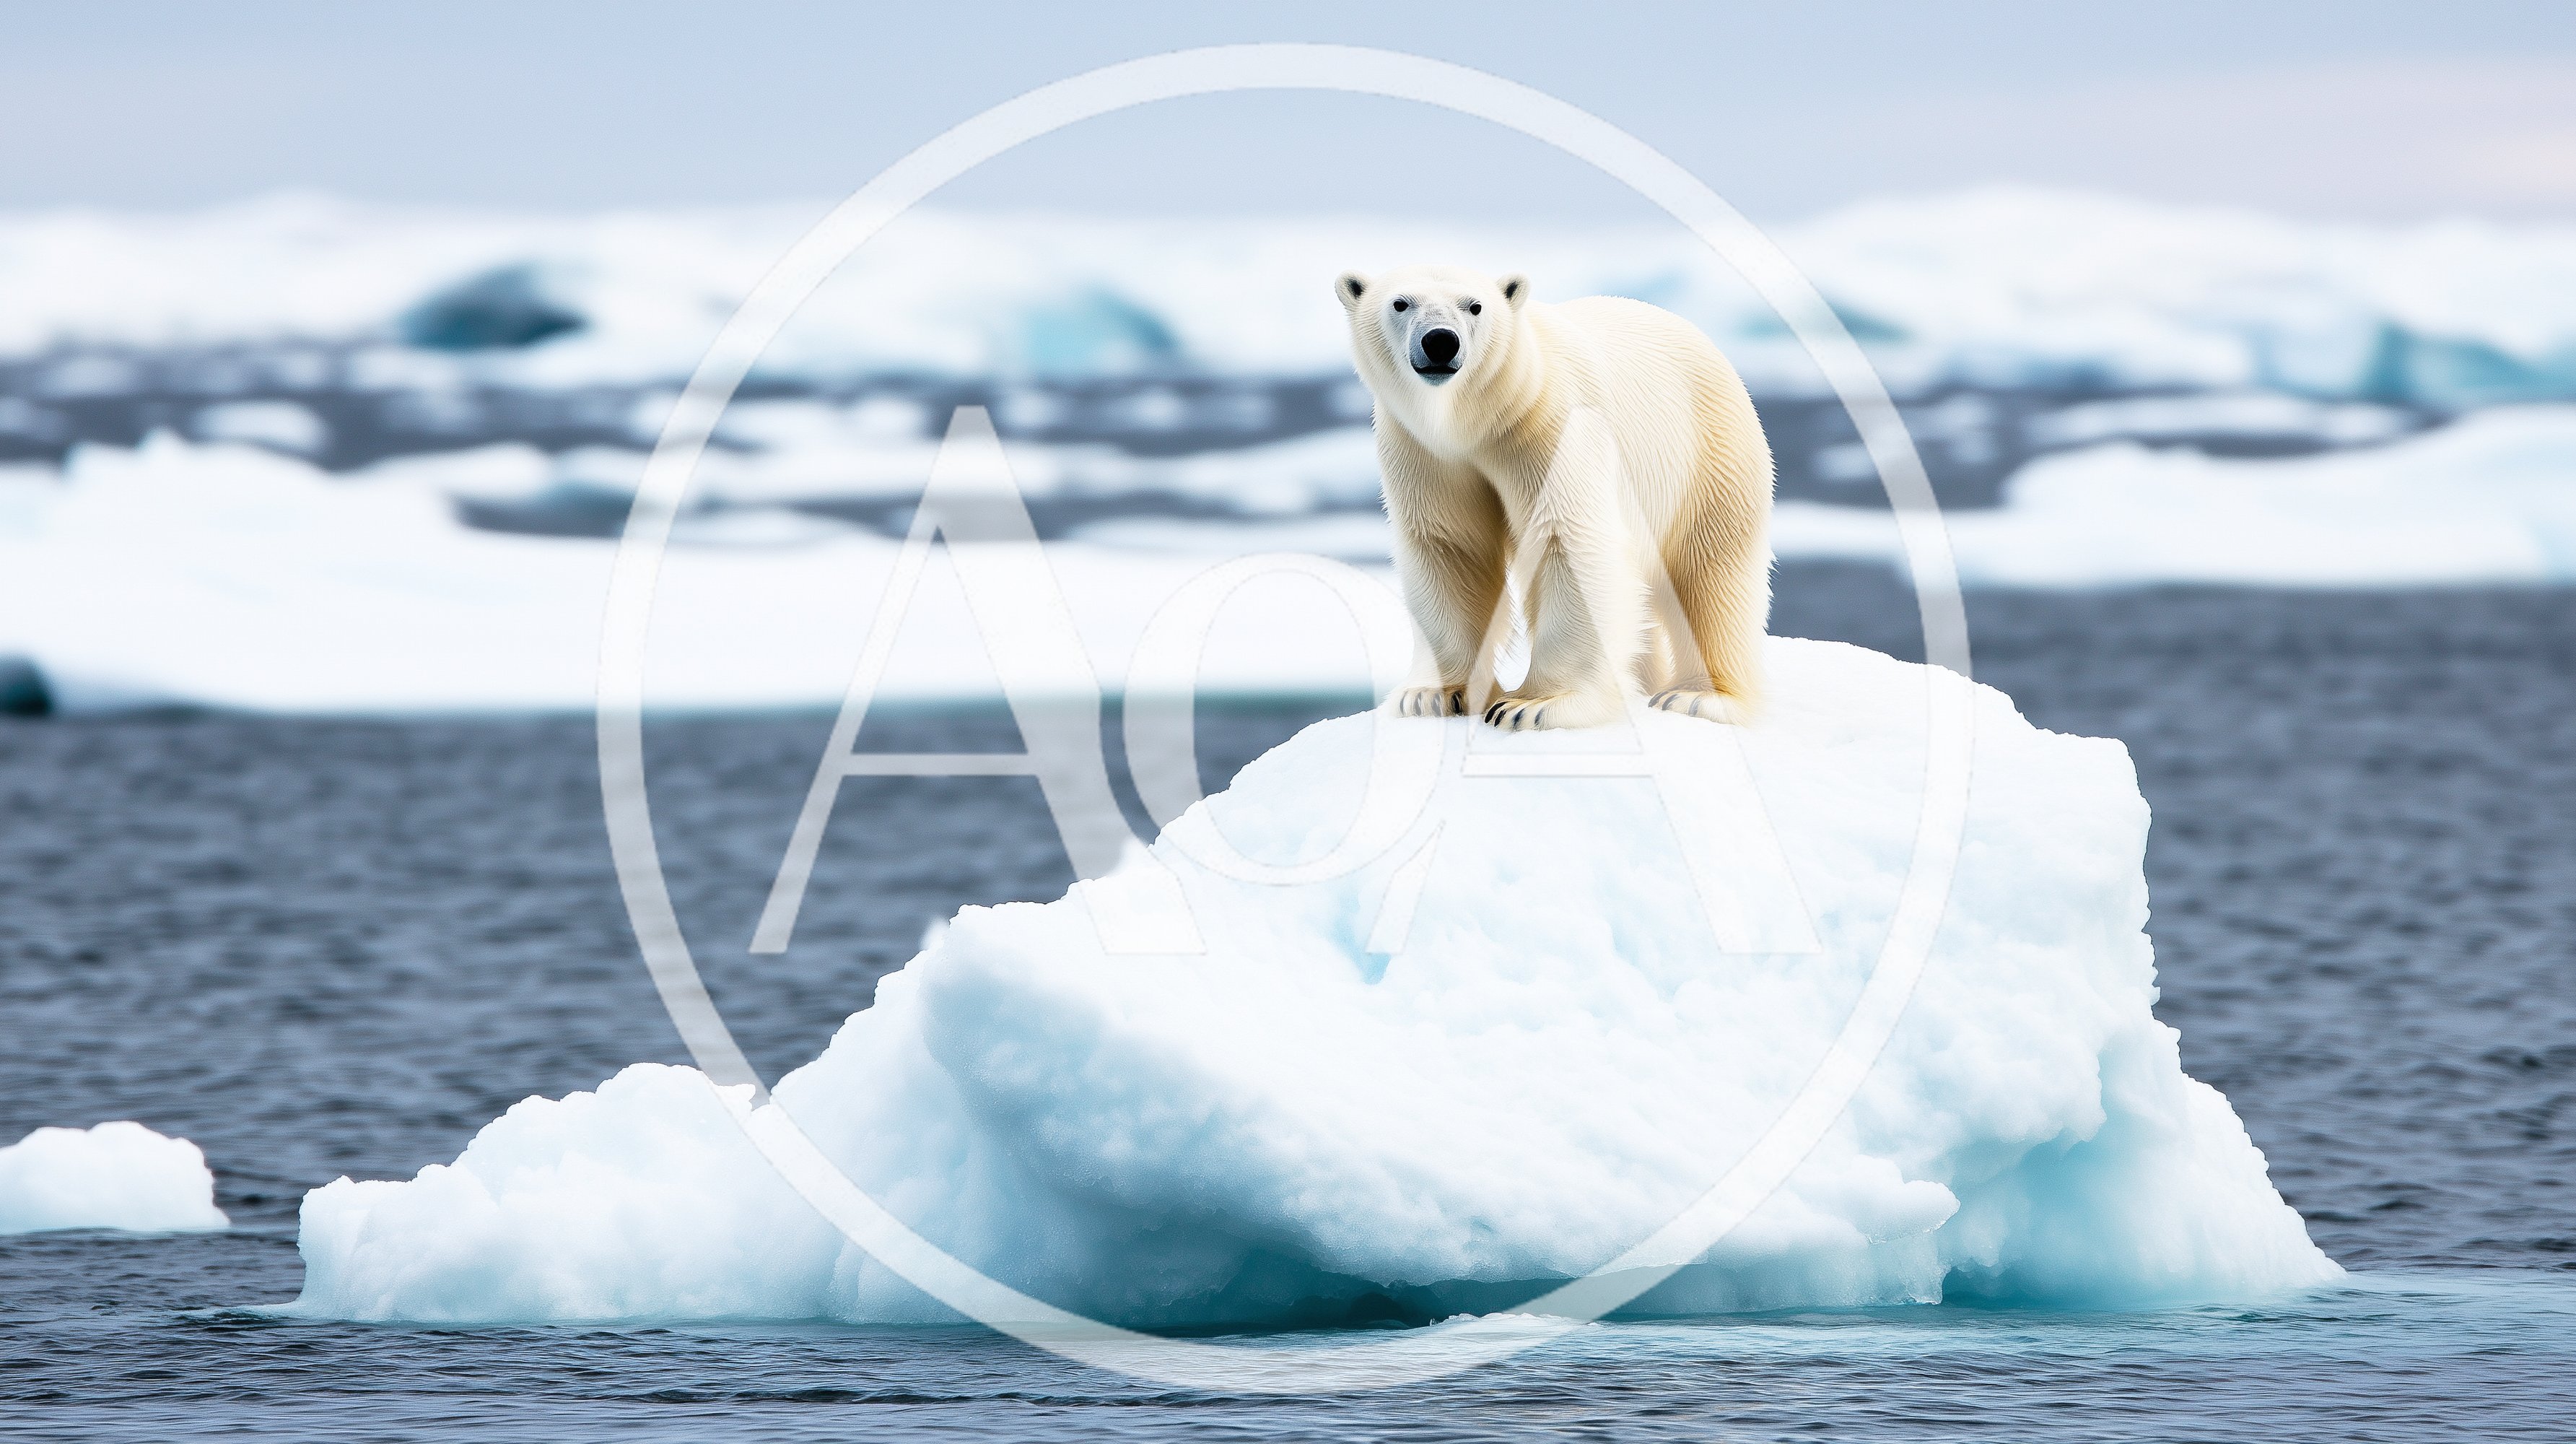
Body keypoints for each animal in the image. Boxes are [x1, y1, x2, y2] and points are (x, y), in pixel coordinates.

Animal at [1337, 265, 1774, 731]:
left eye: (1474, 306)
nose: (1441, 341)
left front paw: (1531, 705)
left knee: (1710, 571)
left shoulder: (1551, 426)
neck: (1479, 420)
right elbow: (1451, 546)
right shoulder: (1425, 451)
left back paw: (1697, 696)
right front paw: (1433, 696)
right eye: (1401, 303)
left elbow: (1570, 541)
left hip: (1708, 456)